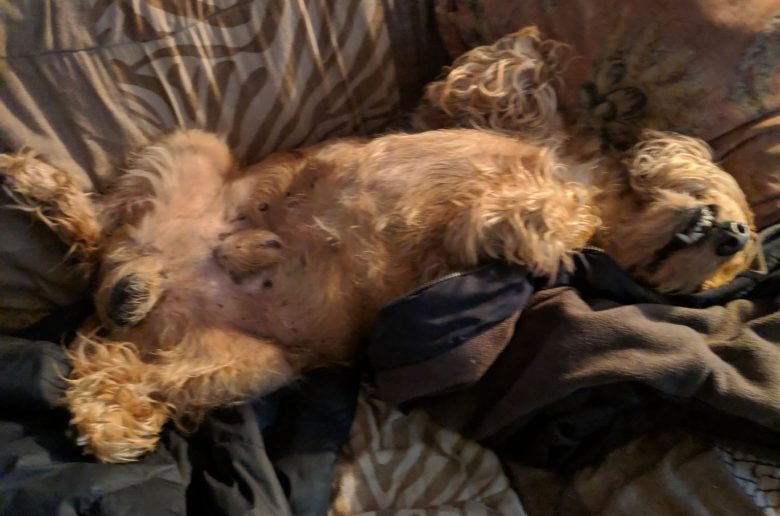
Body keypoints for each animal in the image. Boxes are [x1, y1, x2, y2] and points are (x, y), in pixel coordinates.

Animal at [0, 28, 756, 463]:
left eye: (742, 257)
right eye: (737, 213)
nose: (737, 233)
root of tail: (146, 299)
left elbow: (546, 226)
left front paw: (532, 217)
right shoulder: (470, 112)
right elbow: (503, 77)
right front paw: (552, 60)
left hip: (250, 367)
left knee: (111, 353)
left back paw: (111, 415)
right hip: (193, 149)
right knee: (100, 233)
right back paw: (43, 189)